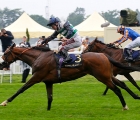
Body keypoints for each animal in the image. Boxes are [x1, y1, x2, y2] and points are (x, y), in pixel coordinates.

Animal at [0, 43, 140, 110]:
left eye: (5, 53)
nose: (2, 64)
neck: (38, 57)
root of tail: (104, 55)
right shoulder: (48, 82)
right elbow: (50, 98)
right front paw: (48, 110)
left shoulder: (36, 77)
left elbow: (21, 89)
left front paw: (5, 102)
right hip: (108, 75)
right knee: (122, 84)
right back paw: (135, 96)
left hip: (103, 77)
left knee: (117, 89)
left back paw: (125, 106)